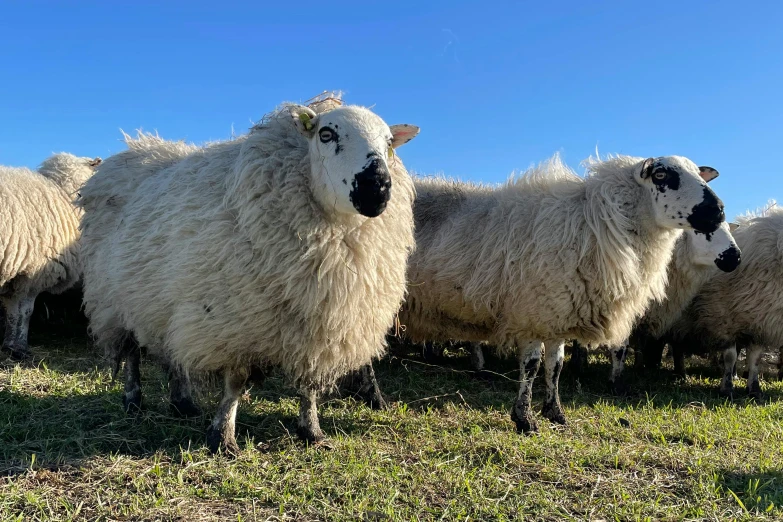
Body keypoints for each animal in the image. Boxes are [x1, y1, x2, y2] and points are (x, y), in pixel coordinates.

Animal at [0, 152, 101, 360]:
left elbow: (12, 312)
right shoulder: (32, 273)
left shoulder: (16, 273)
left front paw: (9, 345)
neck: (63, 193)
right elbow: (24, 312)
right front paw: (20, 347)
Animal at [79, 98, 420, 450]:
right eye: (326, 134)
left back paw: (182, 403)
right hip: (113, 301)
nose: (376, 187)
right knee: (131, 353)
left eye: (389, 143)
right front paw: (223, 437)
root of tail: (137, 149)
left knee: (173, 354)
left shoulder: (317, 324)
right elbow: (236, 381)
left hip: (163, 301)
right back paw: (133, 400)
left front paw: (312, 431)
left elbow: (309, 385)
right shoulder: (234, 322)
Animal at [392, 153, 728, 430]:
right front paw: (524, 419)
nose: (719, 211)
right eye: (660, 175)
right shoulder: (531, 313)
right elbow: (531, 366)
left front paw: (555, 413)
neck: (593, 223)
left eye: (699, 174)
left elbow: (555, 367)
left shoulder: (556, 315)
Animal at [680, 203, 783, 398]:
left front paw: (754, 389)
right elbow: (730, 356)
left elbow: (755, 359)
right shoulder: (722, 318)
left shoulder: (758, 320)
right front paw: (727, 388)